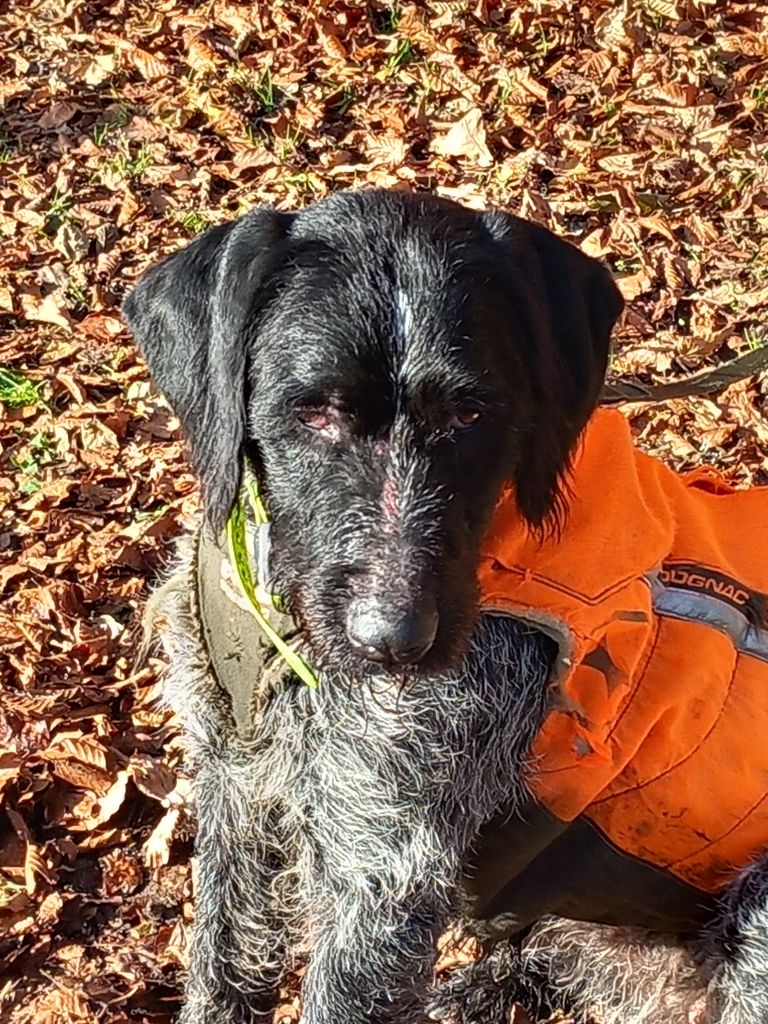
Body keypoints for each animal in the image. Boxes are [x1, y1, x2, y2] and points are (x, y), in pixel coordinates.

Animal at [123, 186, 768, 1024]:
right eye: (313, 411)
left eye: (473, 415)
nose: (394, 641)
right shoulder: (233, 783)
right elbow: (223, 965)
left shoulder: (380, 871)